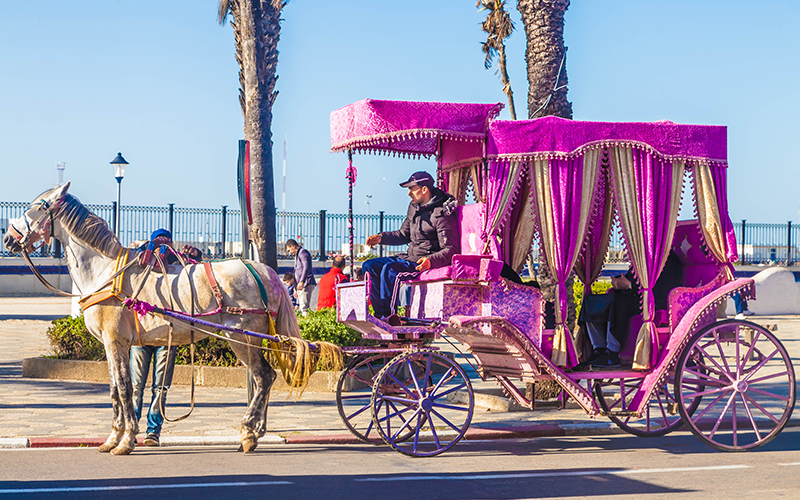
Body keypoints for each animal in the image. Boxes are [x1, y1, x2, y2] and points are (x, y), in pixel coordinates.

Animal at [4, 185, 326, 458]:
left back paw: (248, 432)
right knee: (266, 378)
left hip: (242, 338)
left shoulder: (115, 341)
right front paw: (112, 438)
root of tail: (262, 270)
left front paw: (126, 440)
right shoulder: (112, 345)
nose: (7, 238)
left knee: (263, 377)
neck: (105, 271)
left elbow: (124, 388)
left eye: (34, 207)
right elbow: (115, 389)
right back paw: (257, 431)